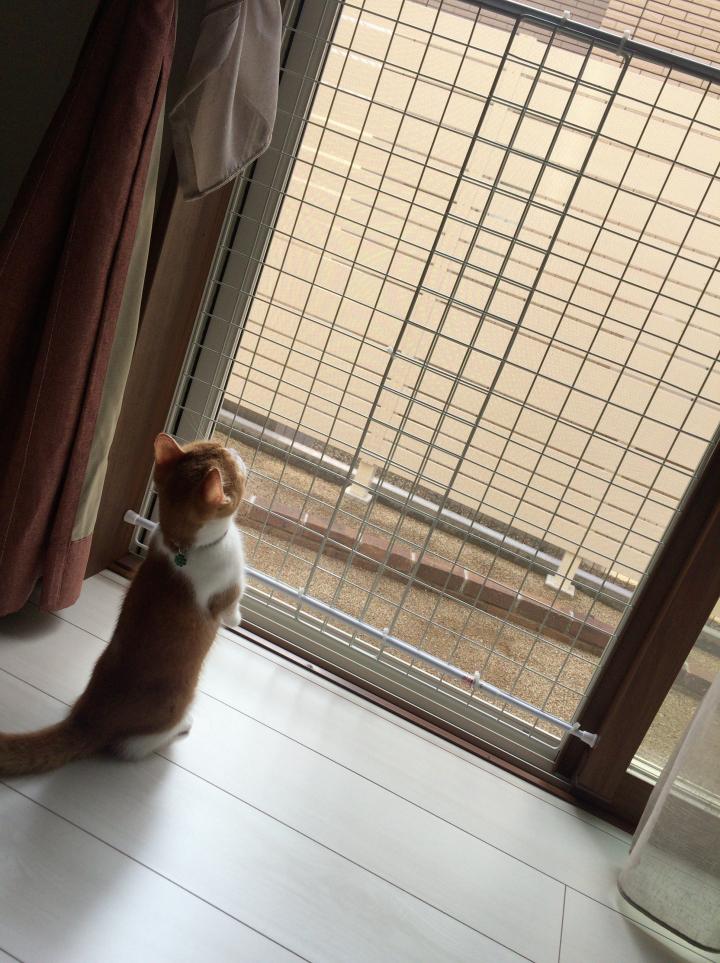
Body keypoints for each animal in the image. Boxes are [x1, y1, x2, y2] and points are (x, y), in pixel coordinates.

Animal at [0, 433, 246, 776]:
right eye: (233, 462)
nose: (233, 447)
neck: (181, 544)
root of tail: (87, 721)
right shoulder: (228, 586)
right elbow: (231, 608)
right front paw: (237, 619)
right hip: (174, 706)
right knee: (133, 747)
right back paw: (183, 725)